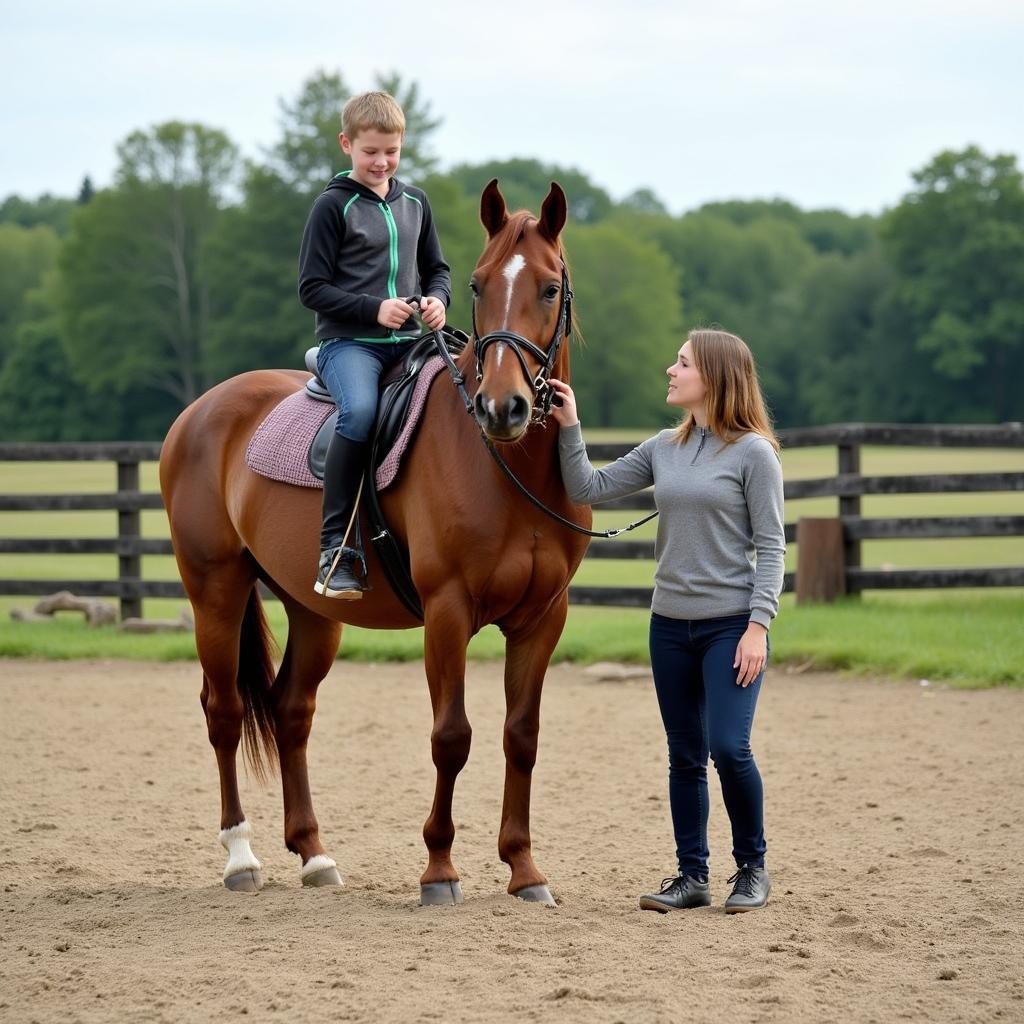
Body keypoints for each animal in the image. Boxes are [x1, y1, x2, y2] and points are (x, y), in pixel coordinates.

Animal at [159, 182, 593, 905]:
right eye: (478, 284)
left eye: (551, 287)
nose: (502, 408)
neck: (508, 467)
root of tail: (199, 411)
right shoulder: (447, 612)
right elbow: (452, 736)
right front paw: (439, 871)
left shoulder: (543, 618)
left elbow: (521, 737)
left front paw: (524, 869)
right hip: (215, 592)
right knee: (224, 712)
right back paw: (241, 858)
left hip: (313, 610)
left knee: (291, 711)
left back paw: (313, 855)